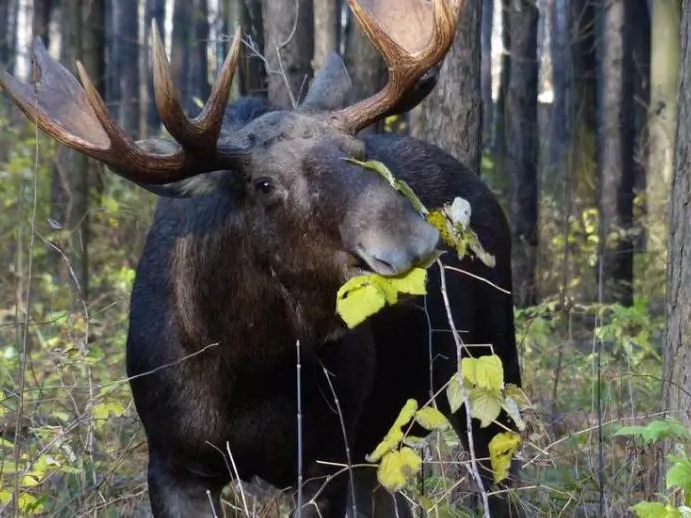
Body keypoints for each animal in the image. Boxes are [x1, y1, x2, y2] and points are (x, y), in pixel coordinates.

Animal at [0, 0, 520, 516]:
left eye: (359, 150)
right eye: (264, 184)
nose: (409, 242)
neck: (243, 367)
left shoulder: (325, 461)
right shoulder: (172, 463)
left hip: (488, 373)